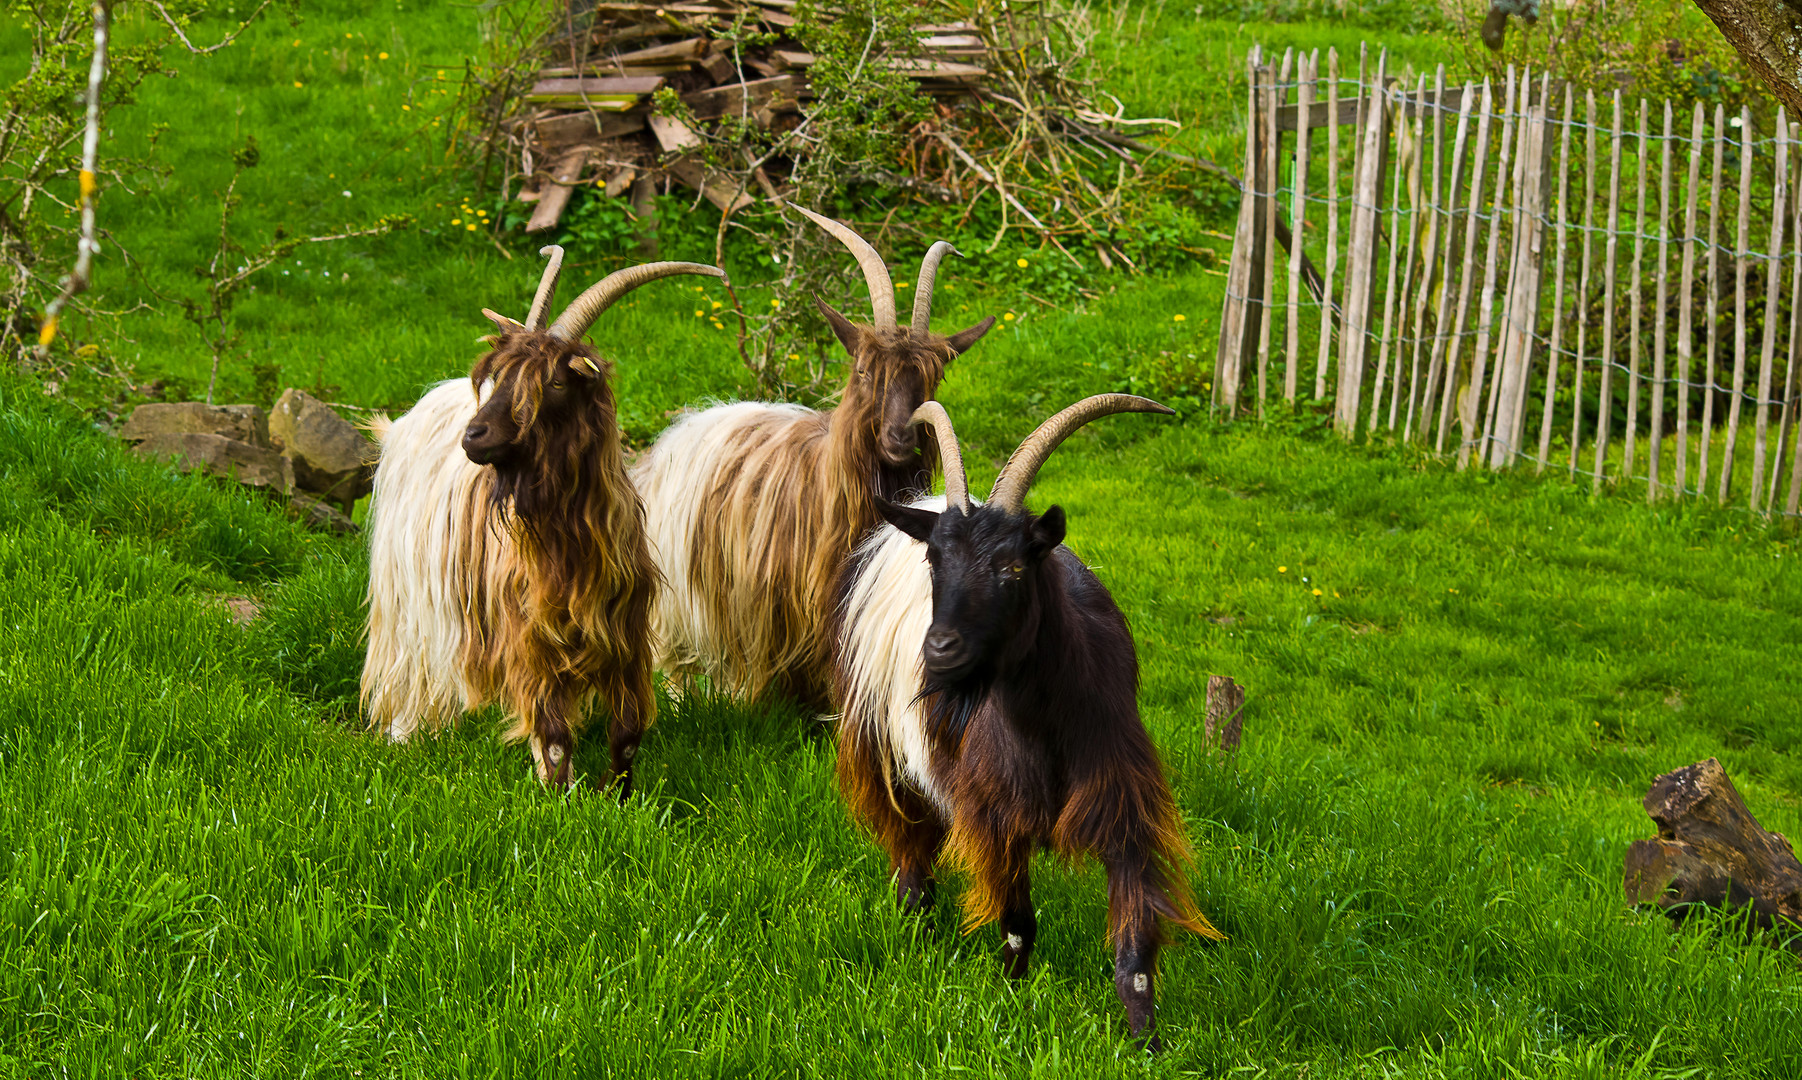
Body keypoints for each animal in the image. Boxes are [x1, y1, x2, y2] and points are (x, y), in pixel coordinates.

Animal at [358, 254, 724, 793]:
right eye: (497, 377)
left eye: (553, 382)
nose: (474, 436)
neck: (570, 548)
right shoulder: (530, 638)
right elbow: (551, 735)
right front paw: (560, 795)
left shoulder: (623, 637)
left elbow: (627, 733)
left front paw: (617, 795)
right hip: (409, 590)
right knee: (411, 659)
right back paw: (404, 733)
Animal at [832, 394, 1225, 1045]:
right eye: (934, 560)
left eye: (1014, 568)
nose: (939, 648)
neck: (1043, 733)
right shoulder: (996, 811)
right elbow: (1018, 922)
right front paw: (1011, 1000)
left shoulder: (1122, 801)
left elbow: (1135, 946)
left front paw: (1147, 1042)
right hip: (882, 740)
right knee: (909, 841)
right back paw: (917, 924)